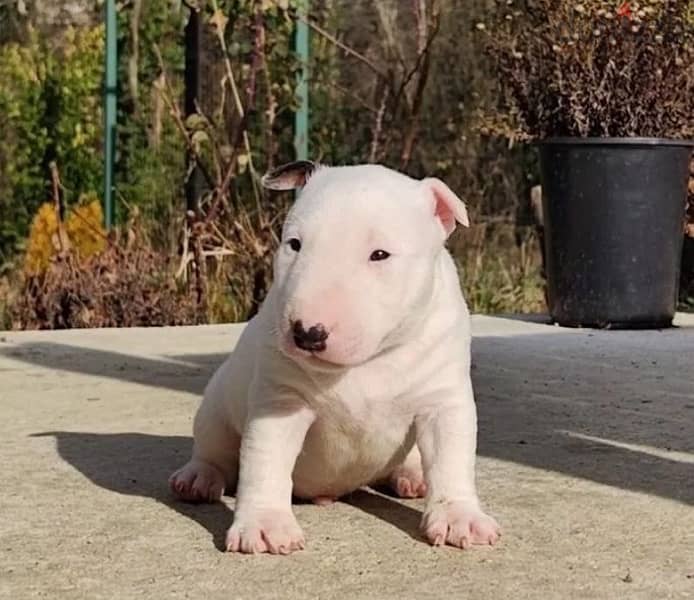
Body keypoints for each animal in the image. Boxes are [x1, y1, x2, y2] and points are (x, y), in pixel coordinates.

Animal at [172, 159, 502, 552]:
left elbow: (451, 459)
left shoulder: (443, 400)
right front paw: (264, 525)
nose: (306, 333)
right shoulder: (281, 402)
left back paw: (411, 476)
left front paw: (458, 517)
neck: (368, 363)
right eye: (294, 244)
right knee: (215, 452)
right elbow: (264, 462)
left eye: (380, 254)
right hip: (215, 409)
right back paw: (198, 478)